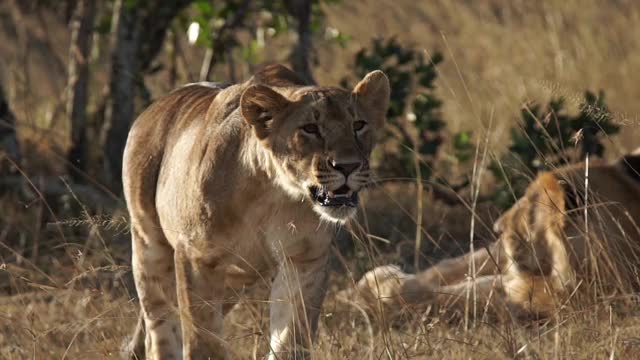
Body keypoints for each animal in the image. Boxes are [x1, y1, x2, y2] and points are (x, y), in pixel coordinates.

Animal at [121, 63, 390, 358]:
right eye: (310, 128)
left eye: (358, 125)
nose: (348, 166)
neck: (273, 193)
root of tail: (156, 106)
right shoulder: (197, 258)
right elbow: (204, 341)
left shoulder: (304, 260)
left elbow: (290, 337)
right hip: (149, 247)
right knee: (159, 327)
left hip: (237, 277)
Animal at [356, 150, 640, 320]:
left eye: (529, 207)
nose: (498, 227)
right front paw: (381, 284)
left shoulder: (530, 299)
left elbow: (458, 296)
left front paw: (387, 290)